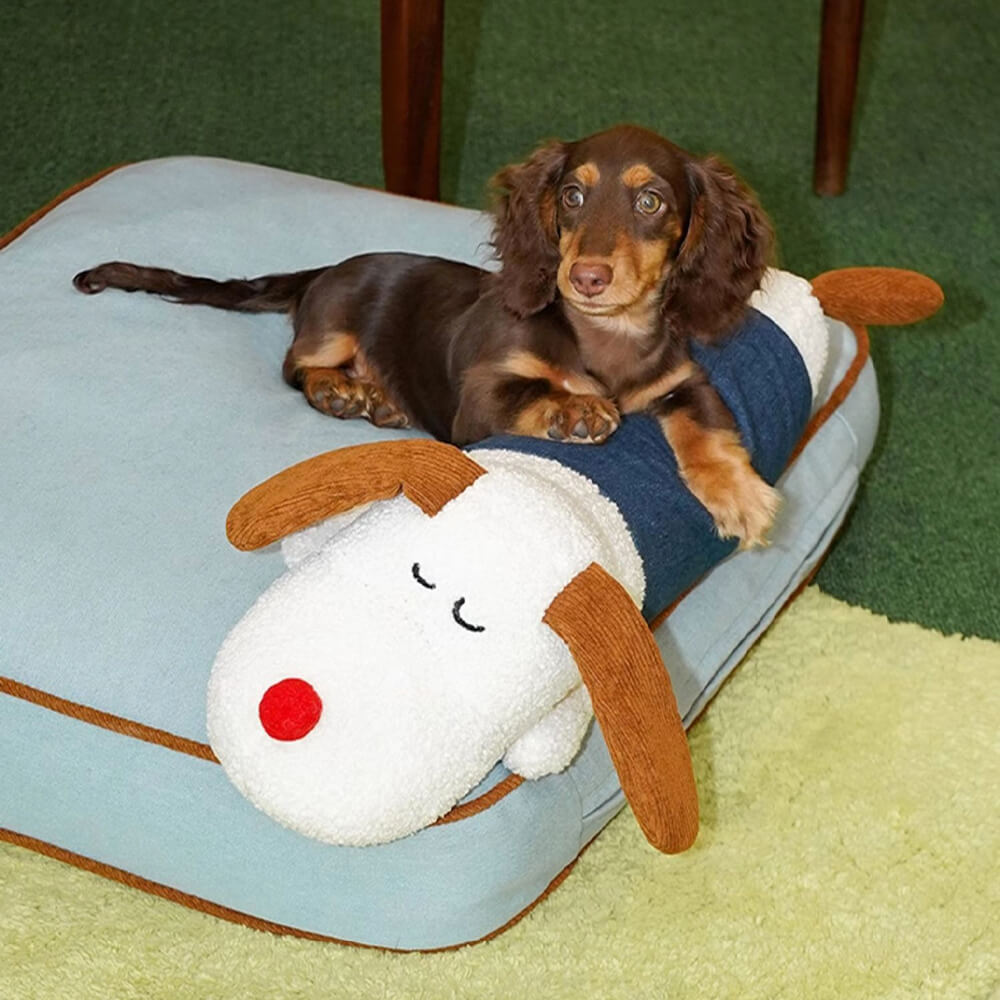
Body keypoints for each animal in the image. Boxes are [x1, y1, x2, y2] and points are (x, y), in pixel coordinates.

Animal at [78, 127, 776, 548]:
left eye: (651, 202)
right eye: (573, 195)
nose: (586, 277)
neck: (606, 335)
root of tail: (323, 270)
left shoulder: (684, 380)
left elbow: (709, 429)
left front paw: (740, 496)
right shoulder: (480, 399)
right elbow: (534, 392)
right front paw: (576, 410)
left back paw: (380, 398)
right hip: (331, 328)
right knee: (294, 366)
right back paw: (339, 391)